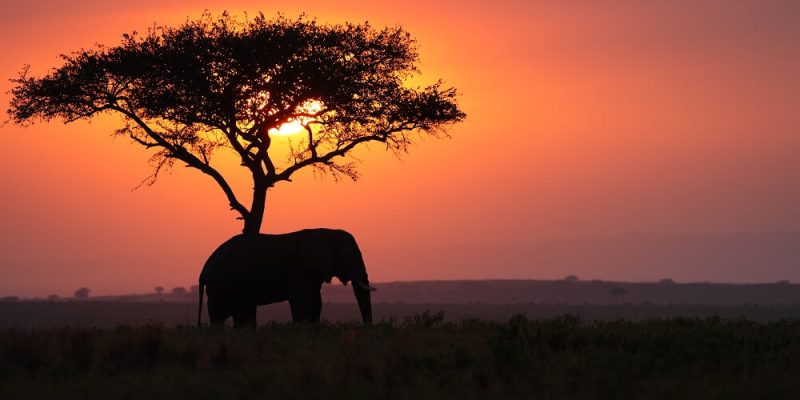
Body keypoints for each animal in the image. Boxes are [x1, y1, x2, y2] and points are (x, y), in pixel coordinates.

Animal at [197, 229, 376, 328]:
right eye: (350, 255)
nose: (367, 328)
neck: (325, 232)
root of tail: (204, 270)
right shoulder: (298, 269)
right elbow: (304, 302)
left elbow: (316, 302)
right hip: (223, 285)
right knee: (228, 317)